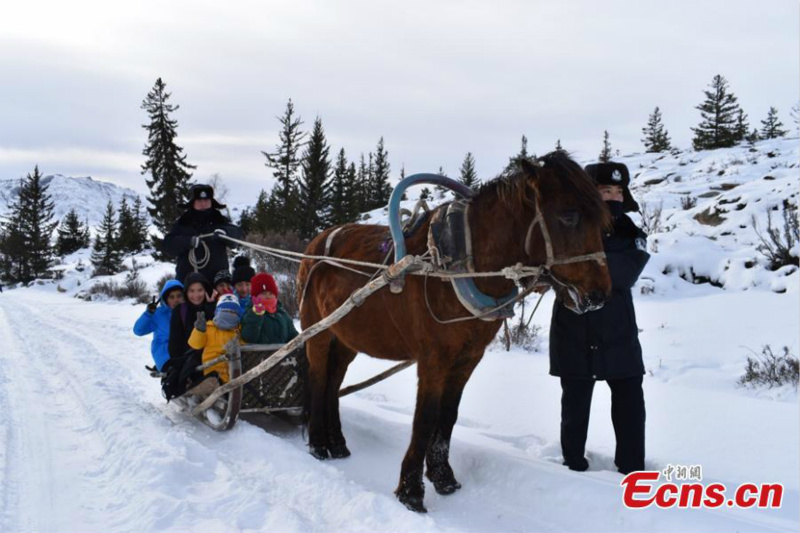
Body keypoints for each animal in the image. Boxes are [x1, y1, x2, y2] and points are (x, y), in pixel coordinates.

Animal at [296, 151, 608, 512]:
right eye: (568, 216)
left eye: (603, 220)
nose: (599, 295)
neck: (460, 266)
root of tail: (315, 244)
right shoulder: (434, 358)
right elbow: (426, 417)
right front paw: (411, 491)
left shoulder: (467, 358)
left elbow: (448, 414)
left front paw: (443, 476)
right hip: (318, 331)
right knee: (319, 378)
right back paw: (318, 444)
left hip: (347, 338)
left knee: (334, 382)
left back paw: (337, 442)